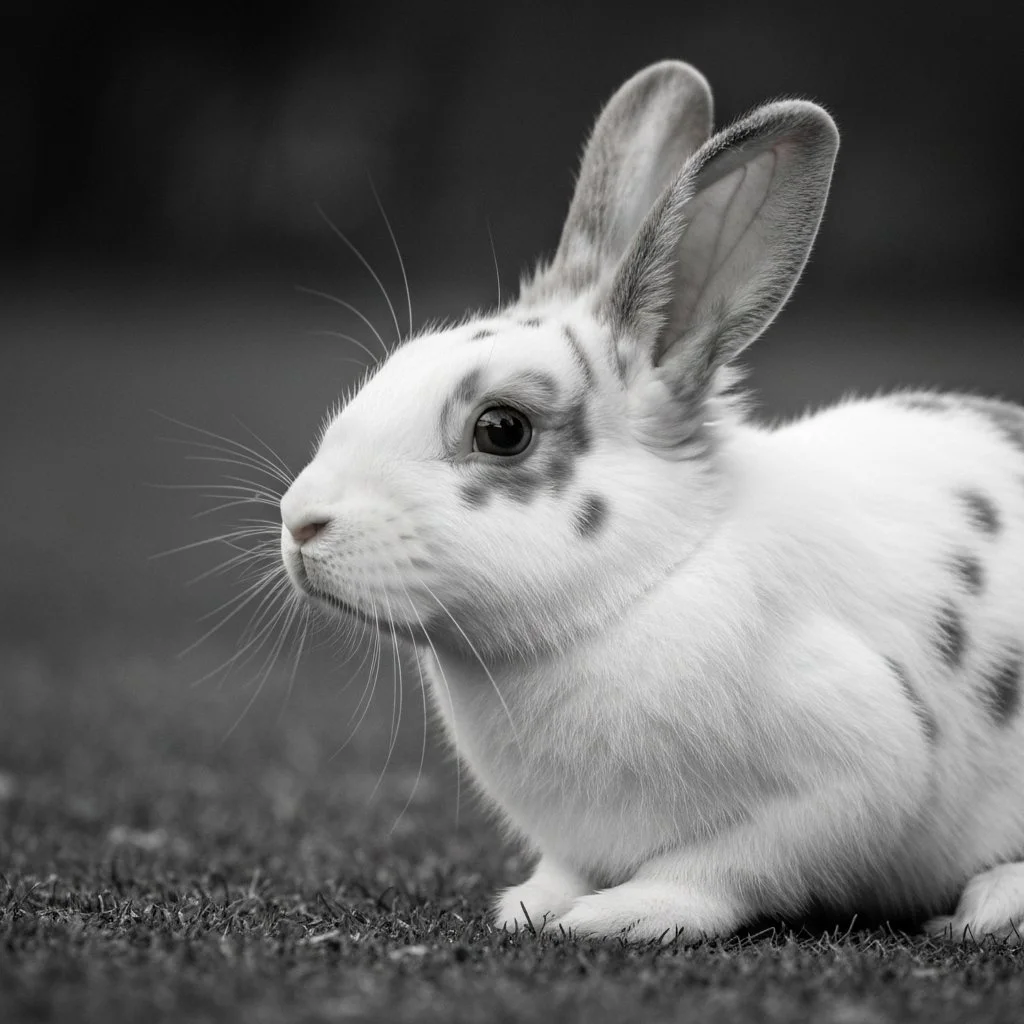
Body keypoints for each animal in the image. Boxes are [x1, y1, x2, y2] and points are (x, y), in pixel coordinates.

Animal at [278, 59, 1024, 943]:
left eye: (501, 429)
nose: (299, 522)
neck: (645, 585)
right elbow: (565, 869)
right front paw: (532, 905)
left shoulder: (847, 777)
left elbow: (725, 868)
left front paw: (619, 917)